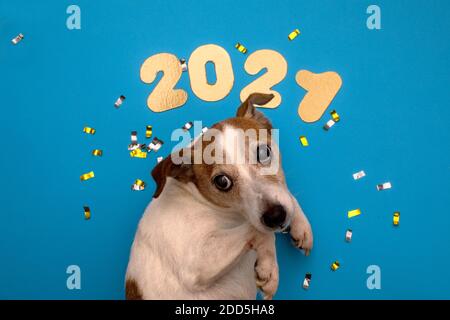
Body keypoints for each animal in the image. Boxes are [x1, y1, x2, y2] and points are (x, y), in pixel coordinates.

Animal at [125, 92, 312, 300]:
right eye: (222, 182)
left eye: (264, 152)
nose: (276, 216)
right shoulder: (199, 260)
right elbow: (257, 230)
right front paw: (269, 266)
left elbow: (287, 198)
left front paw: (300, 226)